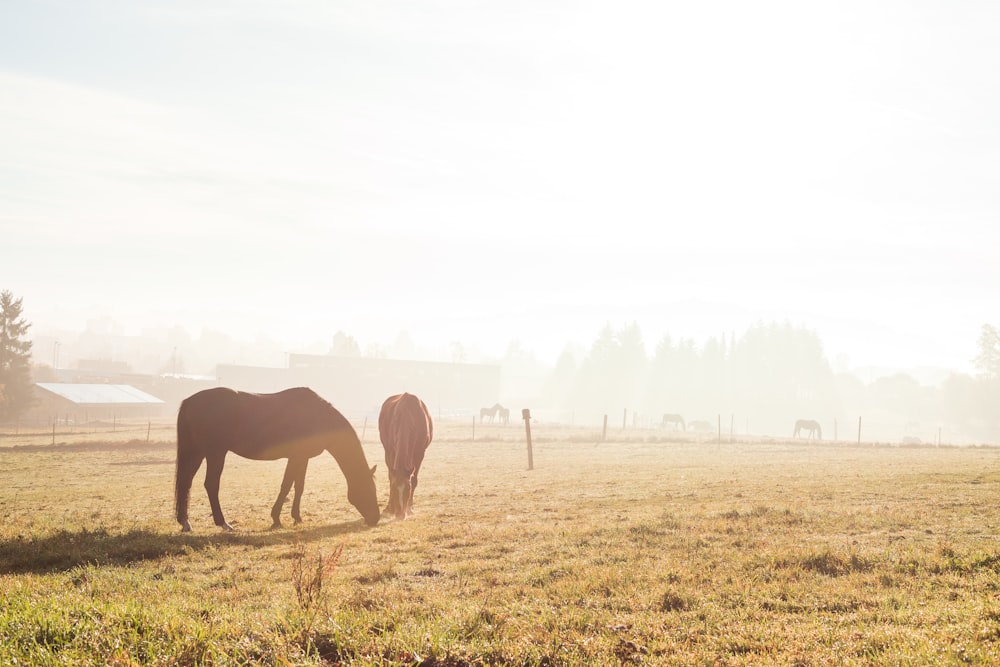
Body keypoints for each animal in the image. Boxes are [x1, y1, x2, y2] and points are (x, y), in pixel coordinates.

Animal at [174, 386, 380, 532]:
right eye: (369, 490)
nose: (376, 519)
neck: (318, 417)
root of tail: (189, 402)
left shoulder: (302, 458)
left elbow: (299, 486)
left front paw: (296, 517)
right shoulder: (296, 457)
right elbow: (287, 485)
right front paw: (276, 519)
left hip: (197, 452)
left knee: (186, 482)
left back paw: (185, 522)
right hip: (215, 452)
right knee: (211, 484)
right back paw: (223, 523)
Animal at [378, 392, 434, 520]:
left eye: (408, 489)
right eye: (394, 489)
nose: (400, 515)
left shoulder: (420, 453)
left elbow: (414, 480)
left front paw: (410, 508)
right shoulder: (392, 451)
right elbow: (391, 479)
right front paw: (391, 509)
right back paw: (389, 508)